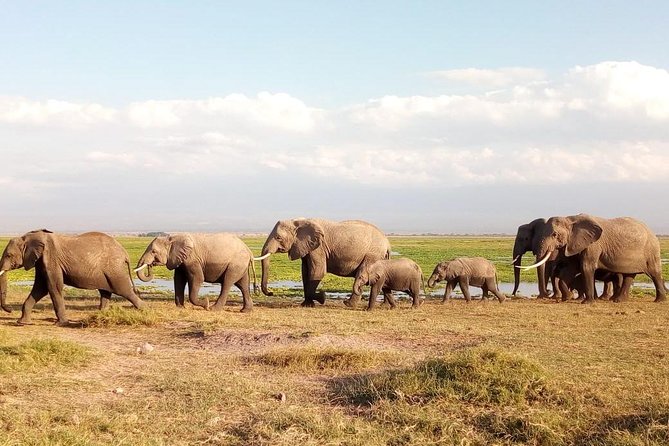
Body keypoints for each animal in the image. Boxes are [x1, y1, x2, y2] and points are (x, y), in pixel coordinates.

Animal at [0, 229, 144, 326]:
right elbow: (40, 288)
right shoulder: (40, 262)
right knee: (105, 292)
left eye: (8, 255)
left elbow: (53, 287)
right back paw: (100, 315)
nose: (10, 310)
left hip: (114, 269)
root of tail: (124, 252)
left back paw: (145, 310)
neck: (28, 237)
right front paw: (22, 323)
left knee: (123, 290)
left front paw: (61, 324)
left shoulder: (51, 260)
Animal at [259, 218, 391, 307]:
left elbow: (317, 271)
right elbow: (305, 272)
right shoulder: (307, 247)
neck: (298, 221)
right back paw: (385, 306)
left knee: (362, 273)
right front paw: (306, 305)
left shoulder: (319, 248)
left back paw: (348, 304)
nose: (271, 293)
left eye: (278, 238)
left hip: (372, 255)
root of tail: (387, 243)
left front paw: (322, 297)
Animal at [520, 214, 666, 303]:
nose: (547, 292)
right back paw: (619, 300)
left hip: (651, 250)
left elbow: (586, 267)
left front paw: (587, 302)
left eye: (555, 234)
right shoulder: (574, 244)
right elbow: (571, 269)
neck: (571, 219)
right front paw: (567, 298)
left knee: (654, 273)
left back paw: (660, 300)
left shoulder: (593, 245)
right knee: (629, 275)